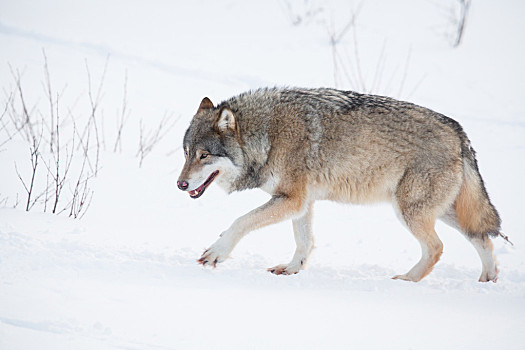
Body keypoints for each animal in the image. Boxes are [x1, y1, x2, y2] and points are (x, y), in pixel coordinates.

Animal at [177, 87, 504, 282]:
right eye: (187, 153)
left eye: (204, 155)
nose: (180, 184)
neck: (269, 135)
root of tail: (459, 131)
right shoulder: (301, 203)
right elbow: (304, 241)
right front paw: (292, 269)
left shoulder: (292, 200)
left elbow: (240, 222)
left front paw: (216, 252)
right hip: (441, 211)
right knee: (482, 238)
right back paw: (488, 281)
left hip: (409, 210)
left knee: (437, 247)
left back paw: (407, 280)